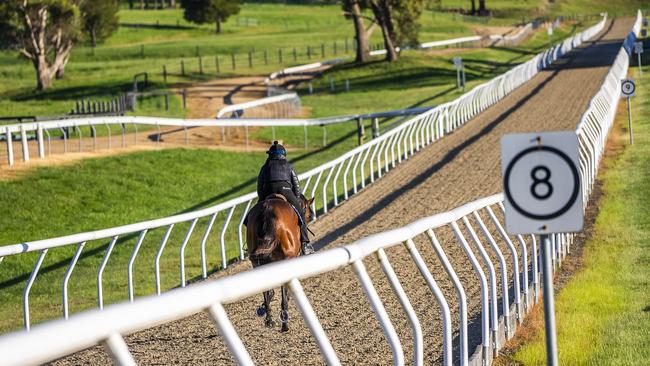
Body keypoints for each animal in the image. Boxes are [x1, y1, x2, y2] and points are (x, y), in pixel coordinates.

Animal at [244, 193, 312, 334]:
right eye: (307, 209)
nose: (310, 215)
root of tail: (267, 210)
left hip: (257, 261)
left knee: (264, 289)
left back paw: (269, 318)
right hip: (286, 259)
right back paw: (284, 323)